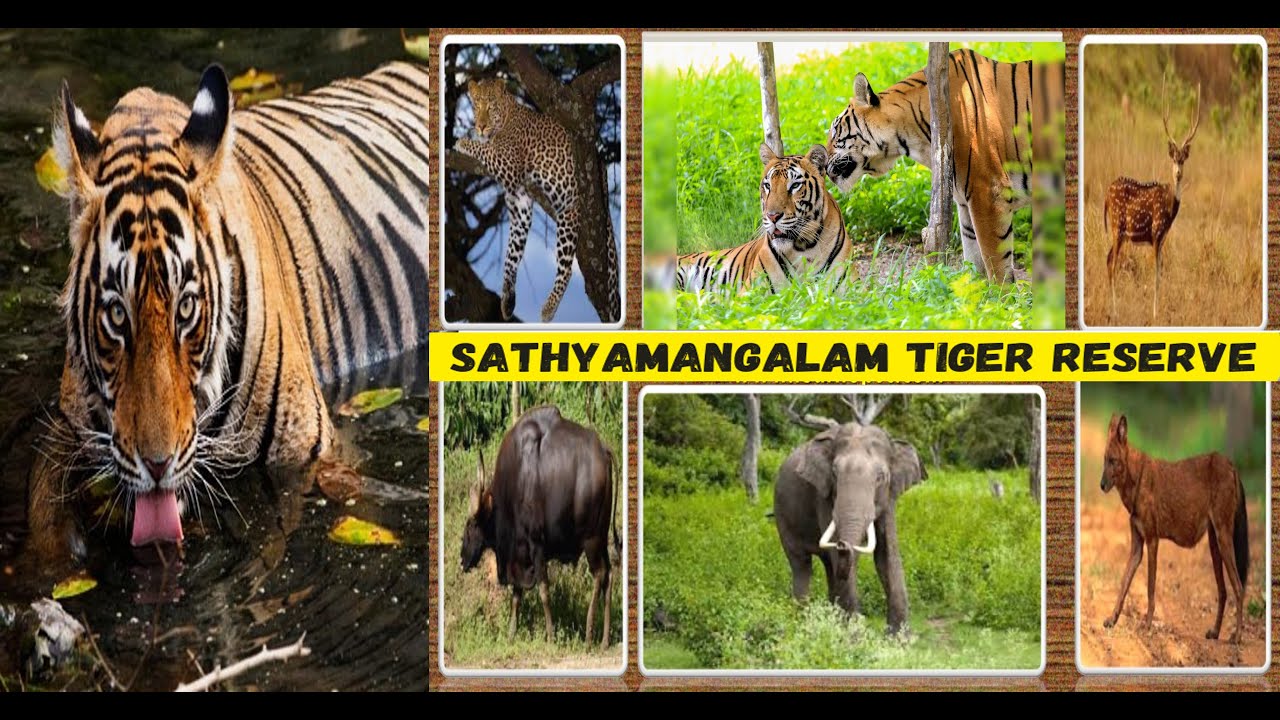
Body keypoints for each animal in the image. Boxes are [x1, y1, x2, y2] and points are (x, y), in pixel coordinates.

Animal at [29, 62, 430, 561]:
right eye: (117, 315)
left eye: (185, 308)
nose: (156, 465)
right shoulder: (66, 426)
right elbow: (44, 502)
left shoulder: (315, 451)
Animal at [825, 48, 1034, 284]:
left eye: (835, 130)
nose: (822, 160)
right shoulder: (966, 202)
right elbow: (974, 258)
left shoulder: (988, 192)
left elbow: (996, 263)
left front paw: (1001, 294)